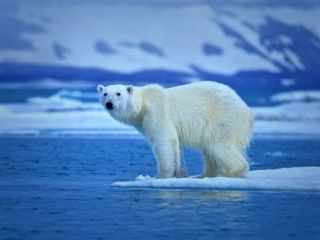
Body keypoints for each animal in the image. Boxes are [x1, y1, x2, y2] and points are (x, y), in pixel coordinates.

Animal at [96, 82, 254, 178]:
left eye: (118, 93)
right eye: (105, 93)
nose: (109, 104)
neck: (141, 105)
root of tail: (247, 110)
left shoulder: (157, 112)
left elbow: (164, 142)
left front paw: (160, 176)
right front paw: (180, 174)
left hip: (223, 119)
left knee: (219, 146)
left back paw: (233, 173)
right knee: (209, 150)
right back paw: (204, 175)